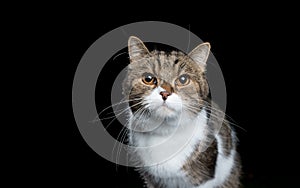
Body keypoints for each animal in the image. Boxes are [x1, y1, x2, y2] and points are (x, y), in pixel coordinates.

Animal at [122, 36, 241, 187]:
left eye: (183, 79)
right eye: (148, 79)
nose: (165, 93)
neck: (165, 134)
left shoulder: (204, 178)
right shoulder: (151, 180)